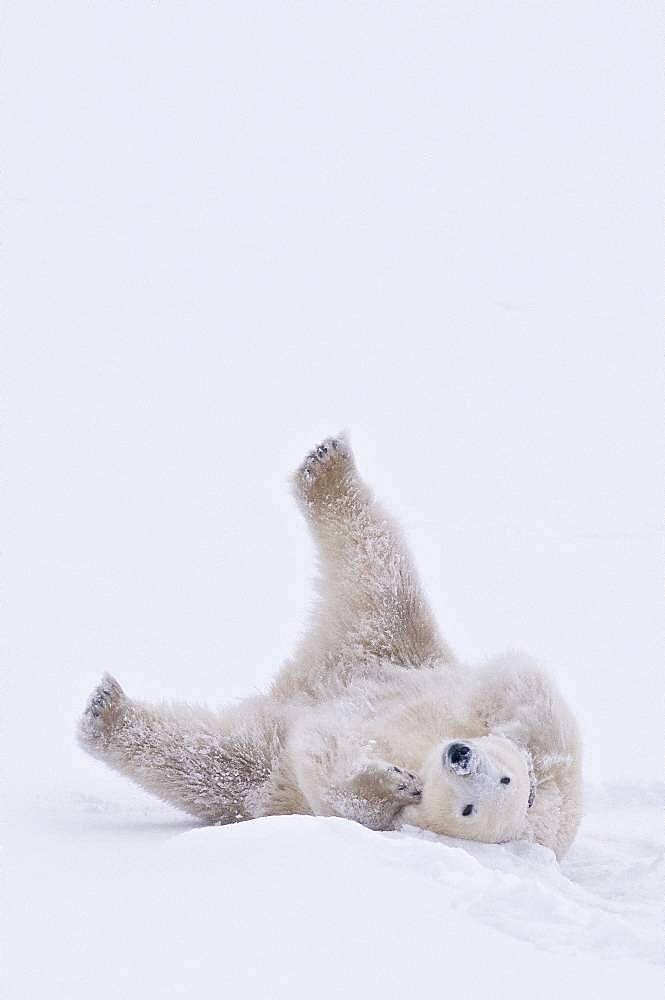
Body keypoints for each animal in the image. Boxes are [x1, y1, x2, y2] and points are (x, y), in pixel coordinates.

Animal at [79, 434, 580, 856]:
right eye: (505, 777)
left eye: (468, 809)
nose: (459, 756)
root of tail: (310, 682)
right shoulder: (551, 763)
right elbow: (530, 694)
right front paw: (511, 736)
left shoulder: (383, 820)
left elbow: (343, 796)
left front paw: (392, 783)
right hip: (389, 648)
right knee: (382, 571)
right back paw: (326, 465)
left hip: (273, 758)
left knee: (208, 762)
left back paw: (104, 713)